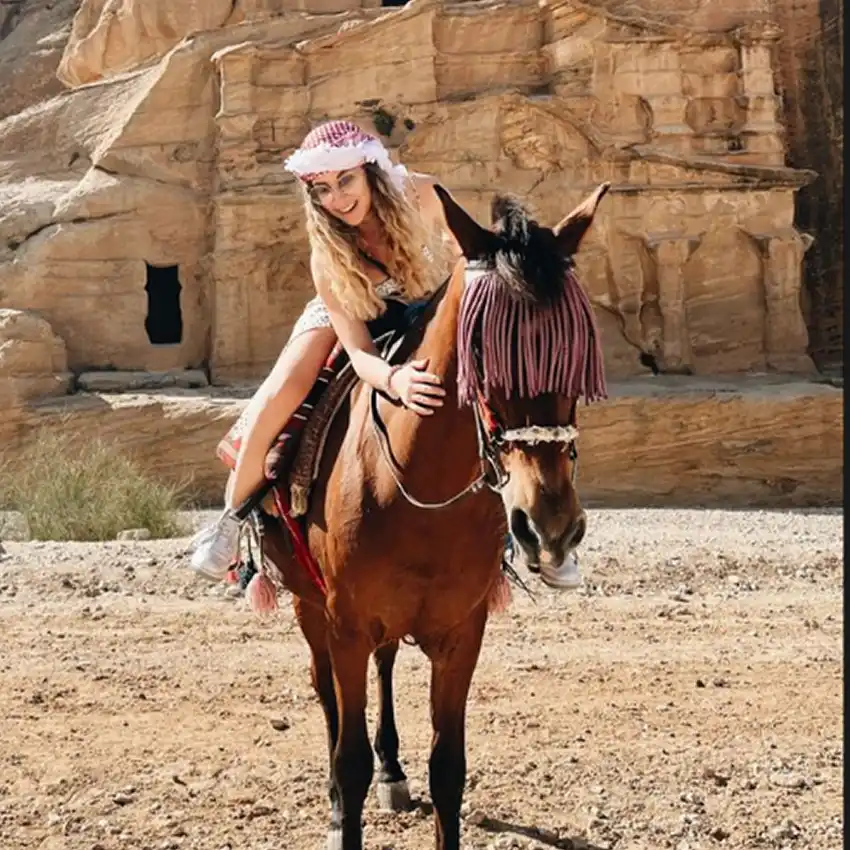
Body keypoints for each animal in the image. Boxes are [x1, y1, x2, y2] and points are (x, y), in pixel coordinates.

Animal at [260, 182, 608, 844]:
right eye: (481, 352)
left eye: (577, 350)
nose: (549, 526)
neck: (418, 495)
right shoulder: (345, 623)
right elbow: (348, 759)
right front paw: (343, 810)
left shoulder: (462, 632)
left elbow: (449, 767)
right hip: (307, 604)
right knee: (325, 692)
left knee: (387, 662)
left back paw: (394, 772)